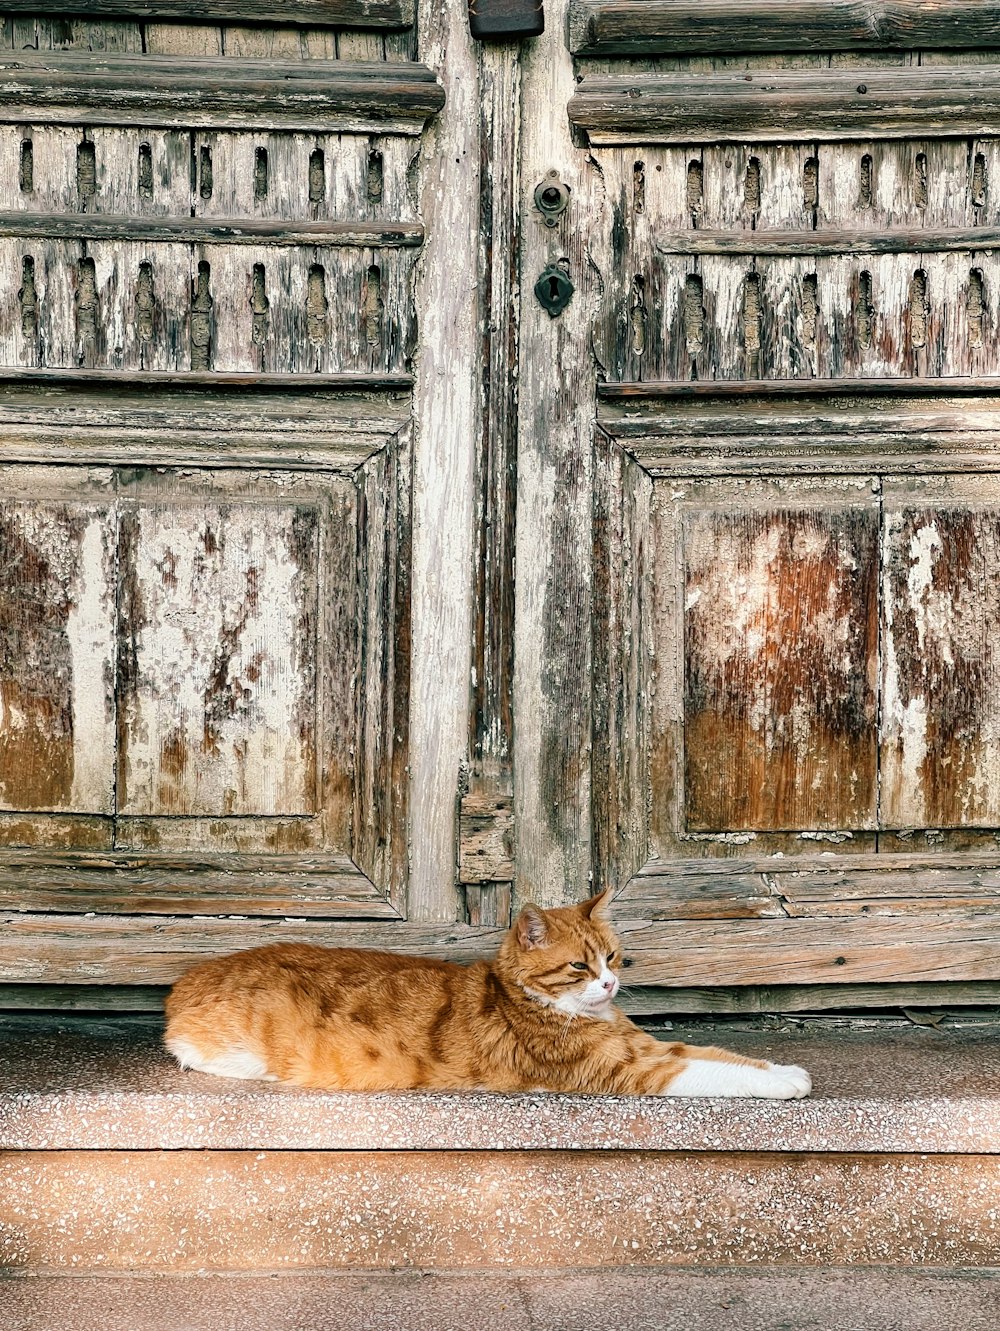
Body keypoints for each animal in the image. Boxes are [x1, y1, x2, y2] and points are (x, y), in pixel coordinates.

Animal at [164, 889, 814, 1096]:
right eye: (578, 966)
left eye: (611, 957)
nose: (609, 983)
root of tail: (186, 979)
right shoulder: (630, 1069)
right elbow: (713, 1070)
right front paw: (782, 1084)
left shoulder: (647, 1047)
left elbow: (719, 1054)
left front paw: (784, 1068)